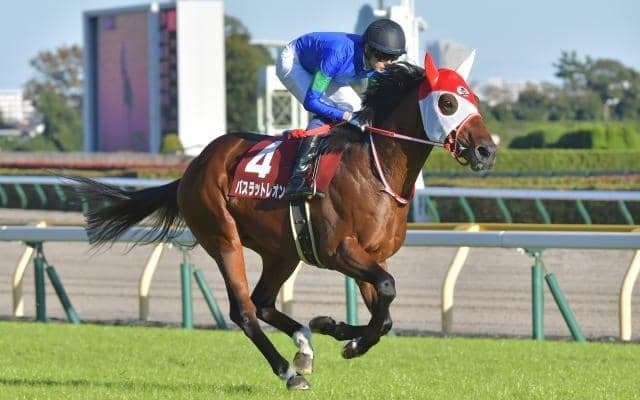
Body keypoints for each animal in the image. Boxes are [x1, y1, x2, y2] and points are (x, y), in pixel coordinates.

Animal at [72, 51, 497, 390]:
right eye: (446, 102)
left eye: (474, 99)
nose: (486, 150)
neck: (375, 170)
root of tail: (194, 166)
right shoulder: (339, 251)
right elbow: (388, 289)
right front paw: (344, 336)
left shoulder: (373, 255)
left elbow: (386, 312)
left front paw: (335, 329)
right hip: (222, 237)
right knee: (244, 310)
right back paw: (289, 372)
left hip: (282, 252)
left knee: (262, 302)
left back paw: (304, 346)